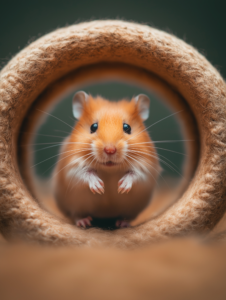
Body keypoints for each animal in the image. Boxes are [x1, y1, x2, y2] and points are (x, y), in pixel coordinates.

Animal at [52, 91, 161, 227]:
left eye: (127, 127)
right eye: (93, 127)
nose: (110, 150)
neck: (109, 169)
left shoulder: (146, 168)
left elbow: (135, 174)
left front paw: (122, 188)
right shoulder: (72, 166)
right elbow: (85, 173)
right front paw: (99, 188)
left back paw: (122, 223)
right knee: (75, 215)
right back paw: (85, 222)